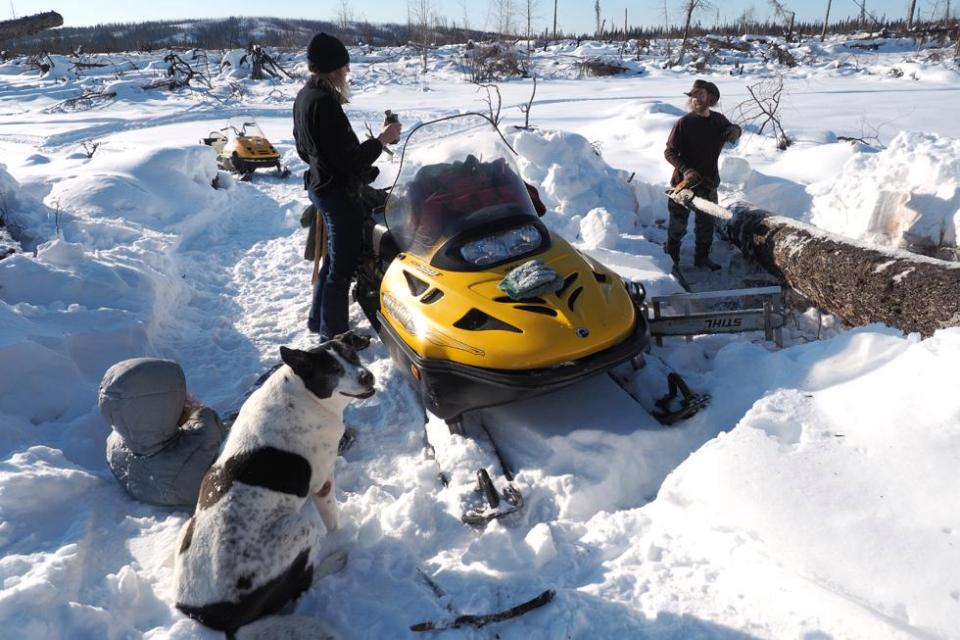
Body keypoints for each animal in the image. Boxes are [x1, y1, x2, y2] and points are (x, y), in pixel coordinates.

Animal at [175, 332, 376, 632]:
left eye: (352, 355)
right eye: (333, 370)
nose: (368, 377)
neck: (303, 393)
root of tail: (205, 616)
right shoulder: (322, 483)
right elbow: (333, 521)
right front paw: (340, 537)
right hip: (301, 529)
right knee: (302, 585)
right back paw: (335, 560)